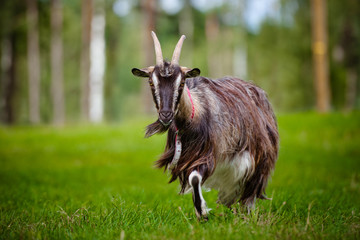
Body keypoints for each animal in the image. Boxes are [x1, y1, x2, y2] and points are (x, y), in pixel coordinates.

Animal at [131, 31, 278, 219]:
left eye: (181, 83)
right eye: (151, 82)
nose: (165, 115)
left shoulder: (207, 153)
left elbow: (194, 178)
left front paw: (202, 212)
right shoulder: (187, 157)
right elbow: (192, 178)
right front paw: (200, 211)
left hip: (260, 153)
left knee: (252, 185)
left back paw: (247, 211)